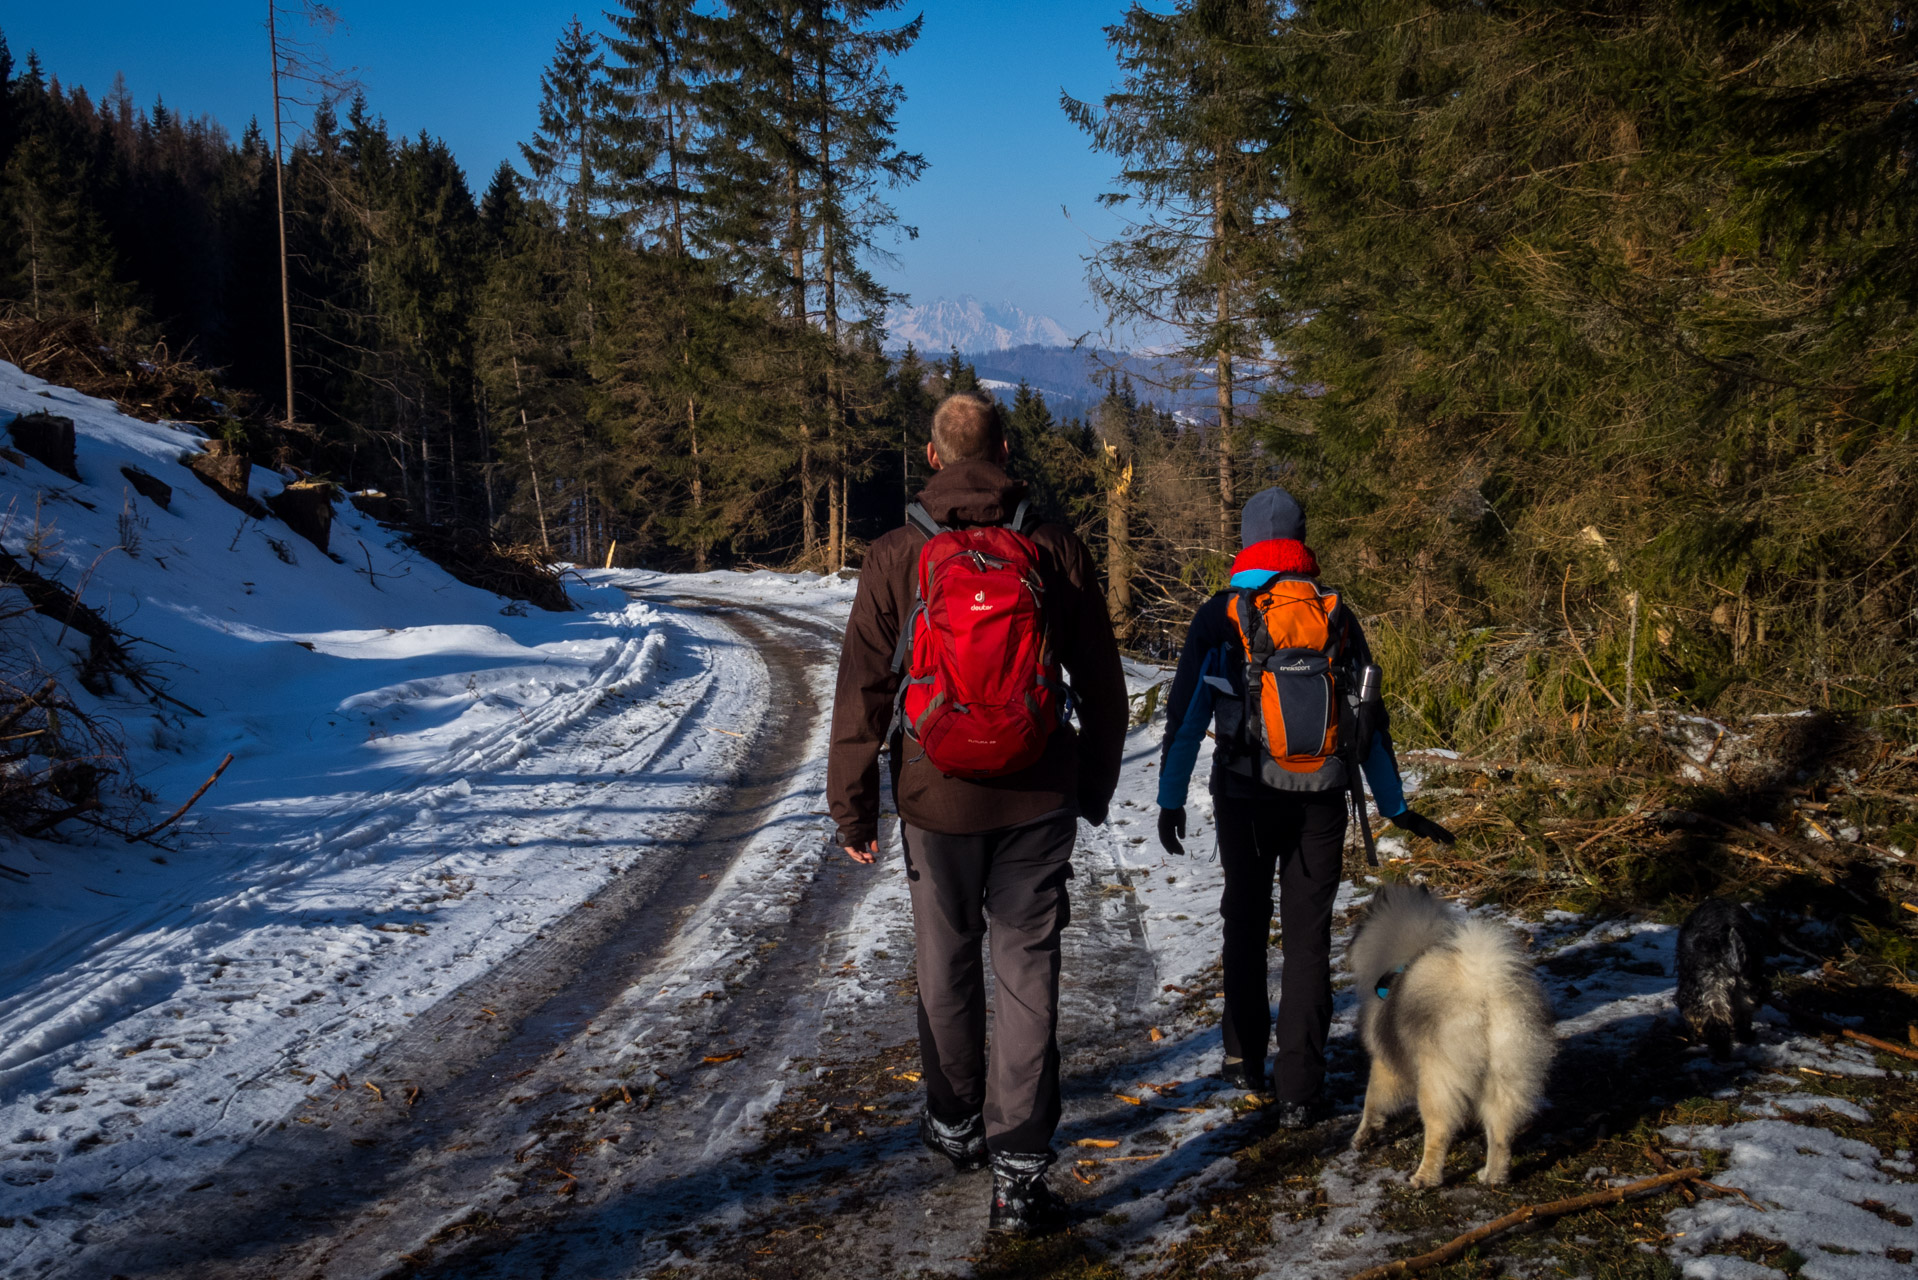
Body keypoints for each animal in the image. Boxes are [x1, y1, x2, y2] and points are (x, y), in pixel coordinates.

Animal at [1350, 886, 1557, 1189]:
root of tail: (1481, 990)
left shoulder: (1384, 1065)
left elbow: (1371, 1100)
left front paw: (1363, 1136)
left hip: (1437, 1082)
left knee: (1438, 1133)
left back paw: (1425, 1178)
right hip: (1505, 1076)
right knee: (1500, 1135)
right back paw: (1493, 1177)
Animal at [1680, 898, 1764, 1066]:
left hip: (1713, 989)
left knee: (1717, 1023)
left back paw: (1719, 1055)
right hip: (1746, 987)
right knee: (1744, 1014)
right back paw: (1745, 1037)